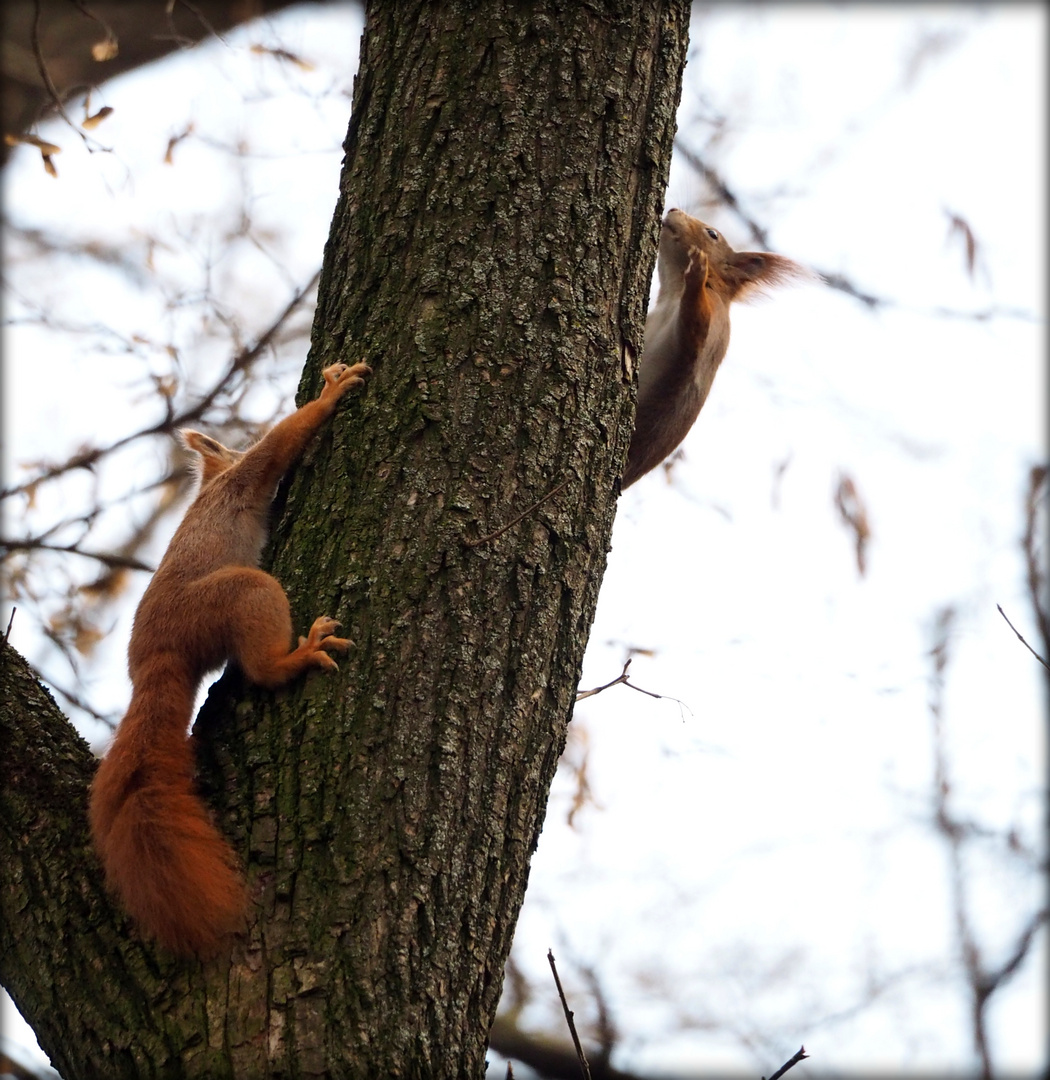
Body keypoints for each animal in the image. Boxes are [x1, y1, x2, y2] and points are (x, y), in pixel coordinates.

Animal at [88, 360, 371, 954]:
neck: (214, 480)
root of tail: (154, 660)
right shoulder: (246, 476)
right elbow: (282, 442)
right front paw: (332, 393)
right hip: (238, 594)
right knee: (260, 669)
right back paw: (300, 654)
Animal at [622, 210, 812, 490]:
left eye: (712, 234)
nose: (673, 210)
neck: (672, 295)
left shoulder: (711, 328)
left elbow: (696, 329)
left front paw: (697, 274)